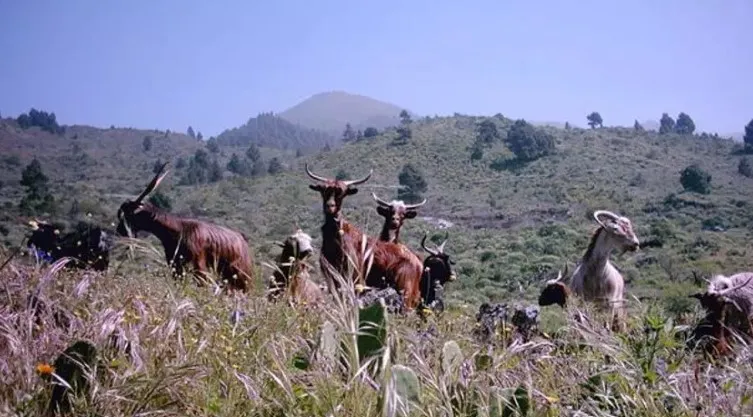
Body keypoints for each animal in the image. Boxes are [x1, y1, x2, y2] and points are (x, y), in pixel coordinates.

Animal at [116, 162, 254, 292]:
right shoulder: (175, 266)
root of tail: (242, 239)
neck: (179, 230)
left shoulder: (199, 265)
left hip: (242, 274)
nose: (119, 230)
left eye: (130, 214)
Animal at [305, 164, 424, 310]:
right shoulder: (331, 277)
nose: (330, 206)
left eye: (342, 193)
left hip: (406, 289)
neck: (337, 238)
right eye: (323, 190)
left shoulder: (355, 278)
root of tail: (418, 263)